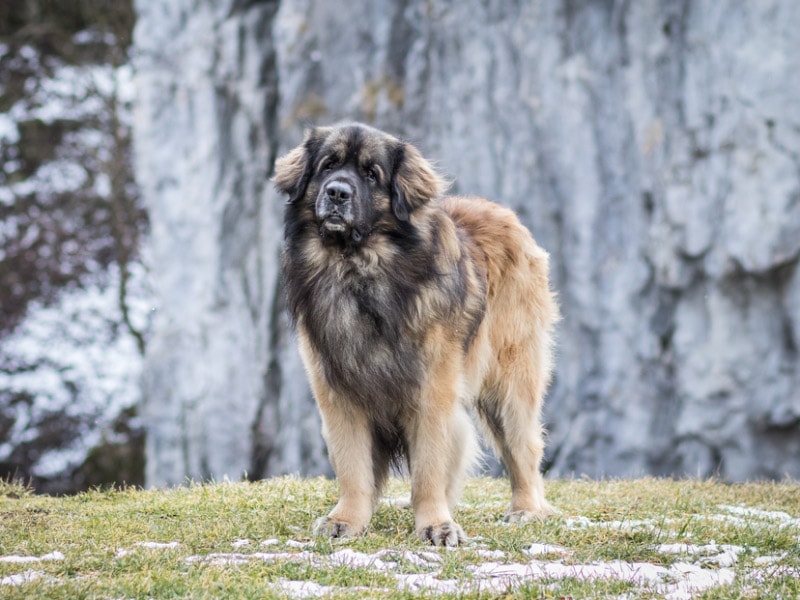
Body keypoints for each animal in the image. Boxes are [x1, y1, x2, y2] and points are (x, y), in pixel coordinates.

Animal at [272, 124, 560, 548]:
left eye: (371, 174)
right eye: (327, 166)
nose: (337, 193)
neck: (358, 271)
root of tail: (503, 212)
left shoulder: (432, 392)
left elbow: (428, 468)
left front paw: (436, 525)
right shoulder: (337, 392)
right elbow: (352, 466)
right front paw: (347, 519)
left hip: (509, 383)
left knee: (523, 448)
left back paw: (526, 509)